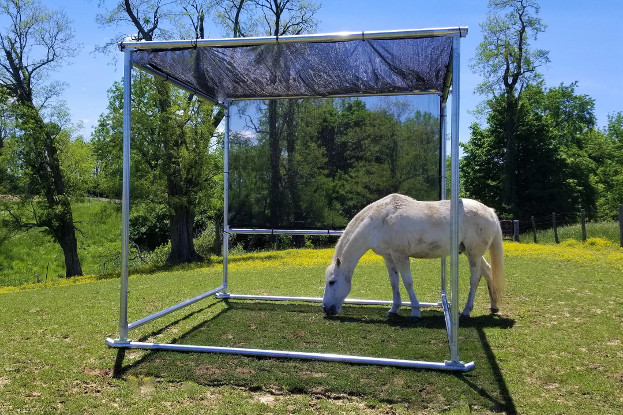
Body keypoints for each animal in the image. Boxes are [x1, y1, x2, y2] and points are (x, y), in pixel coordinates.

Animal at [324, 195, 504, 322]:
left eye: (332, 282)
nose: (326, 309)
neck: (379, 221)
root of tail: (489, 211)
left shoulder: (400, 255)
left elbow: (407, 282)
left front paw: (415, 311)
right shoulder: (389, 257)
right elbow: (394, 282)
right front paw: (394, 309)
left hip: (474, 254)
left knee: (475, 278)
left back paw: (466, 311)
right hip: (471, 253)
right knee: (488, 271)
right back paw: (494, 306)